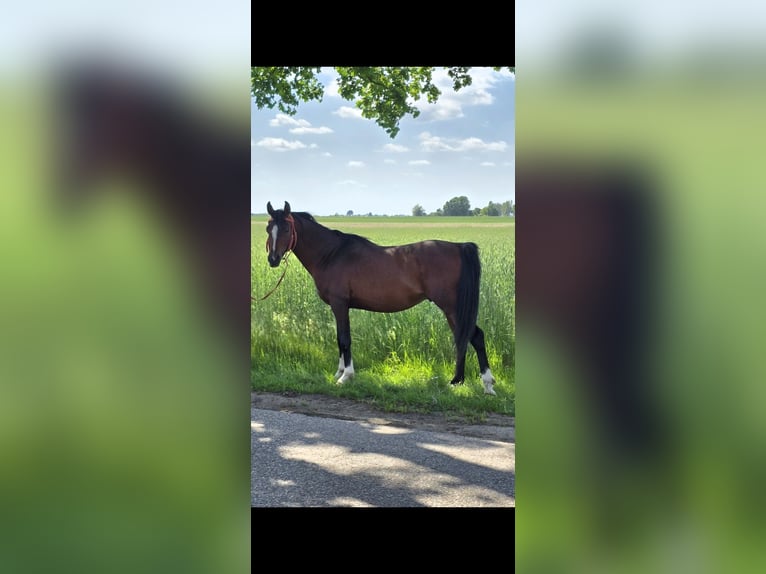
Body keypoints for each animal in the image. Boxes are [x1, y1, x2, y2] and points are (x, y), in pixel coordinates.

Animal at [264, 201, 497, 395]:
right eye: (268, 228)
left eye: (286, 229)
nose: (273, 259)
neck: (332, 254)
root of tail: (459, 247)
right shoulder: (338, 307)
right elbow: (339, 340)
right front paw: (339, 373)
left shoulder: (340, 304)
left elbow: (344, 339)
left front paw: (345, 377)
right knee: (464, 337)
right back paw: (458, 381)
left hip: (451, 307)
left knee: (475, 336)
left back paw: (485, 384)